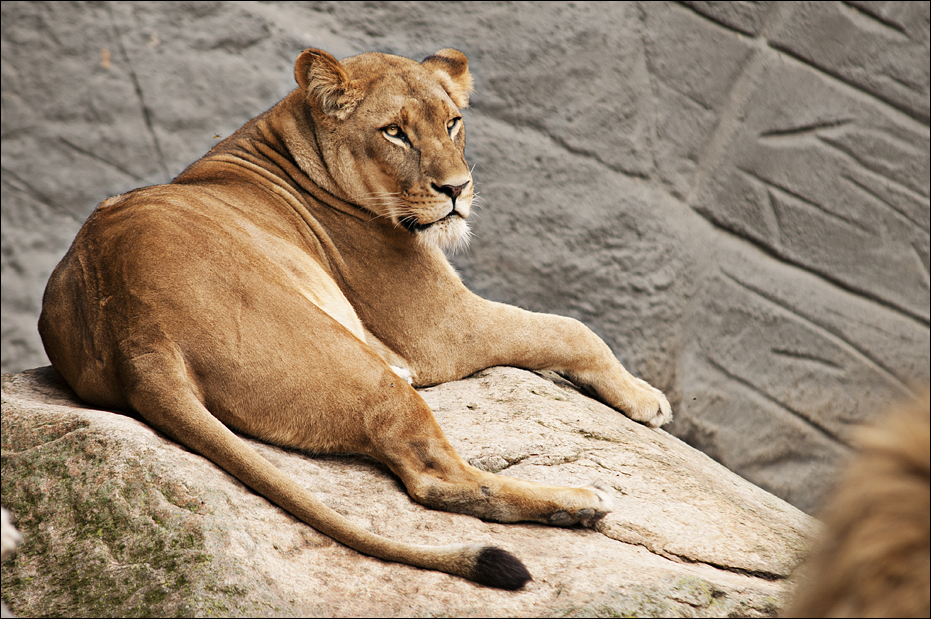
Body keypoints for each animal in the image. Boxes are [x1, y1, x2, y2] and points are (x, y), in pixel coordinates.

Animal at [38, 48, 671, 590]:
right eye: (395, 132)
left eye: (452, 123)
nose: (457, 189)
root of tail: (134, 332)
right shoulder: (444, 329)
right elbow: (572, 329)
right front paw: (647, 399)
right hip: (362, 375)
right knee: (436, 478)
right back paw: (579, 504)